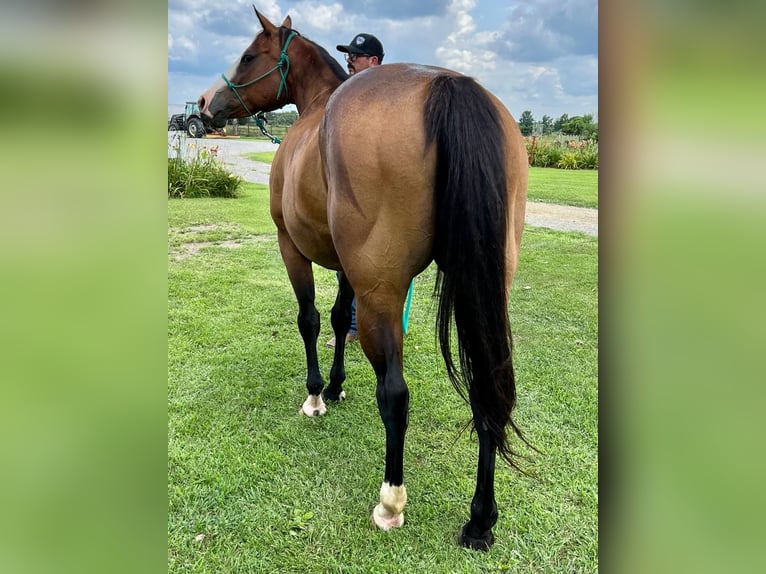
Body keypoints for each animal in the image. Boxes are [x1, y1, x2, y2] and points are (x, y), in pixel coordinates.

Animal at [200, 7, 528, 548]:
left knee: (395, 394)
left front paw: (316, 395)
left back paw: (391, 502)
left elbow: (311, 319)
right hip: (480, 291)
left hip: (382, 295)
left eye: (249, 55)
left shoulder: (293, 248)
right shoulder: (347, 267)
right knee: (487, 387)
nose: (207, 103)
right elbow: (338, 318)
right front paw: (335, 386)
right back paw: (481, 519)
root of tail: (448, 84)